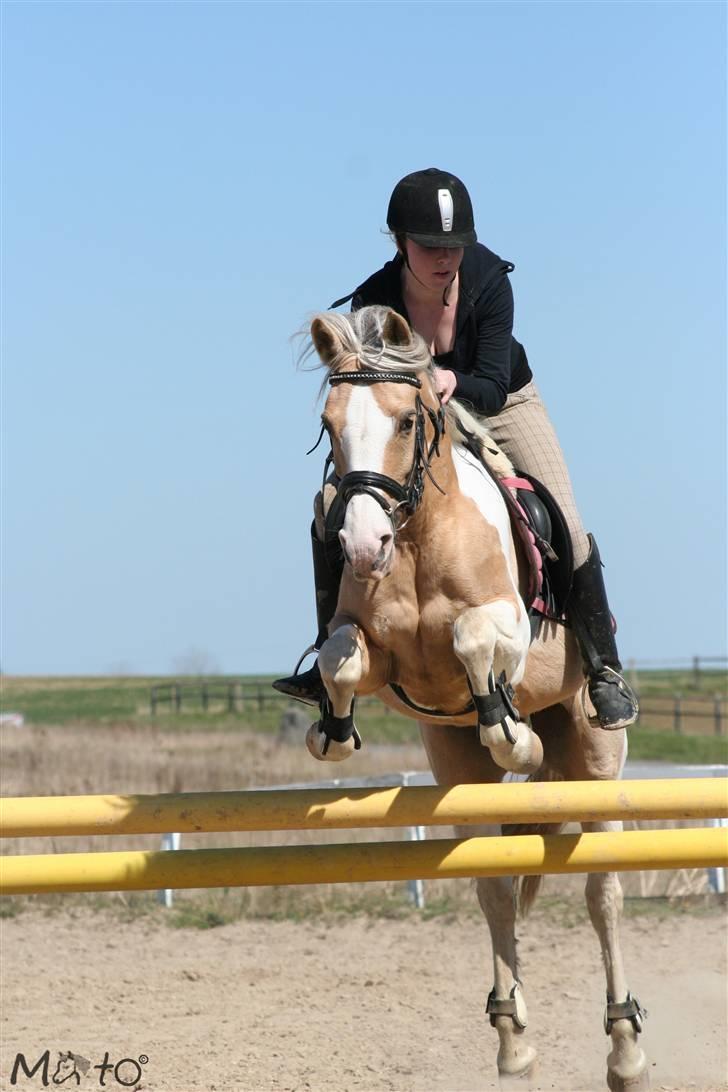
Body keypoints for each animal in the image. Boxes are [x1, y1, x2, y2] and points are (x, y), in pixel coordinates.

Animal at [296, 303, 650, 1087]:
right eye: (330, 425)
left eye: (406, 421)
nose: (361, 545)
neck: (416, 535)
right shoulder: (375, 657)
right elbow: (340, 659)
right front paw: (331, 731)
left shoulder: (507, 623)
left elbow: (471, 638)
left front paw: (518, 736)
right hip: (455, 763)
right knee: (494, 884)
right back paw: (512, 1038)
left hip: (597, 759)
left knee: (602, 890)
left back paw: (626, 1048)